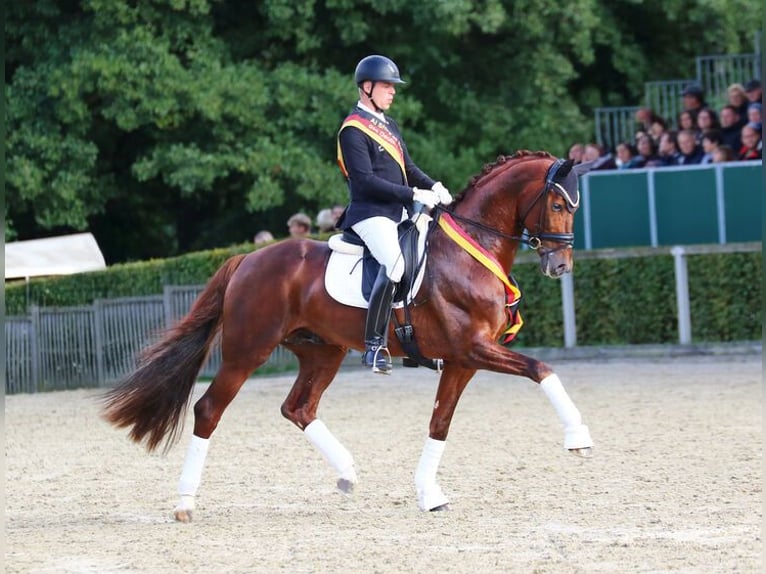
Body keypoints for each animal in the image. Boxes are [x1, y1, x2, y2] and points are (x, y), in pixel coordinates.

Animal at [101, 150, 595, 522]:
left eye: (575, 207)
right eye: (557, 205)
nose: (560, 266)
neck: (470, 252)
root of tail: (247, 259)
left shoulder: (462, 359)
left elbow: (440, 422)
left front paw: (428, 494)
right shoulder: (473, 349)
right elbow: (541, 369)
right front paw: (578, 437)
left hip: (324, 352)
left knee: (298, 408)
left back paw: (348, 473)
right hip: (248, 352)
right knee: (209, 410)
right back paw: (185, 503)